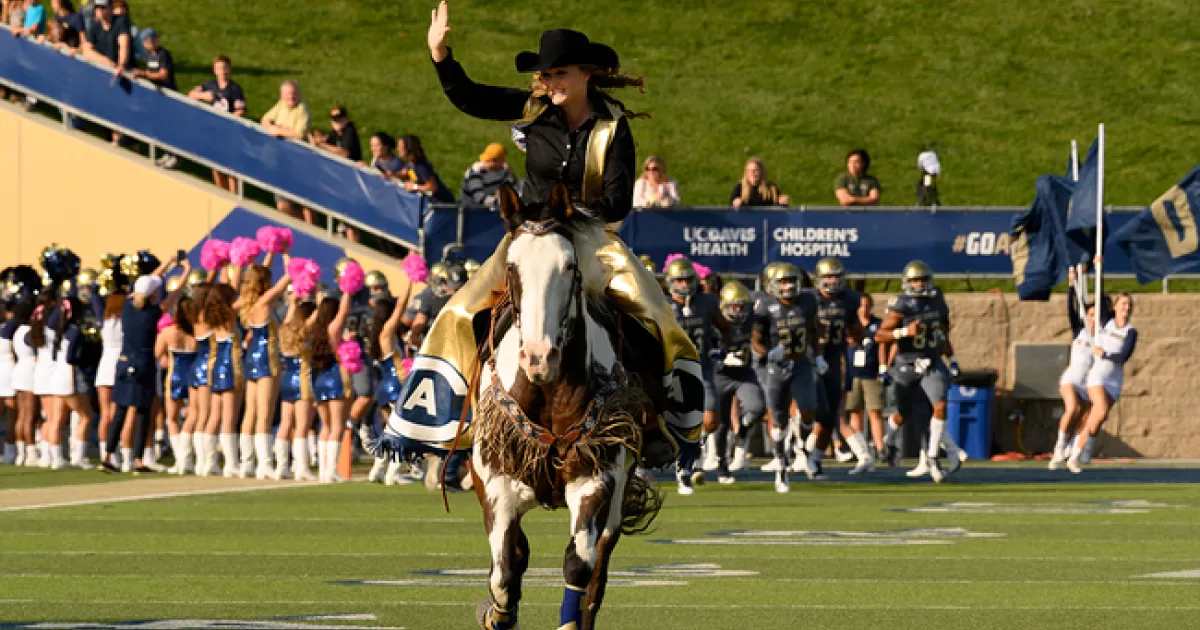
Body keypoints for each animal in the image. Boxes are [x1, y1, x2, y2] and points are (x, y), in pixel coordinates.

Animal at [466, 182, 664, 630]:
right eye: (512, 267)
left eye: (570, 266)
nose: (540, 358)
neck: (546, 392)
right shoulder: (496, 482)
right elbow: (504, 574)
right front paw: (495, 614)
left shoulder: (596, 476)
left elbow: (578, 566)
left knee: (595, 578)